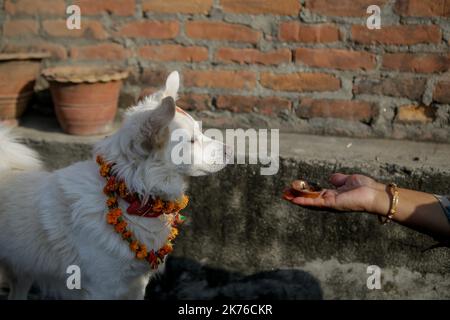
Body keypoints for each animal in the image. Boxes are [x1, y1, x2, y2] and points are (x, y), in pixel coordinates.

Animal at [0, 71, 232, 298]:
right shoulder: (103, 289)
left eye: (200, 132)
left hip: (22, 273)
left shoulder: (136, 286)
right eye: (191, 141)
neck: (131, 197)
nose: (230, 150)